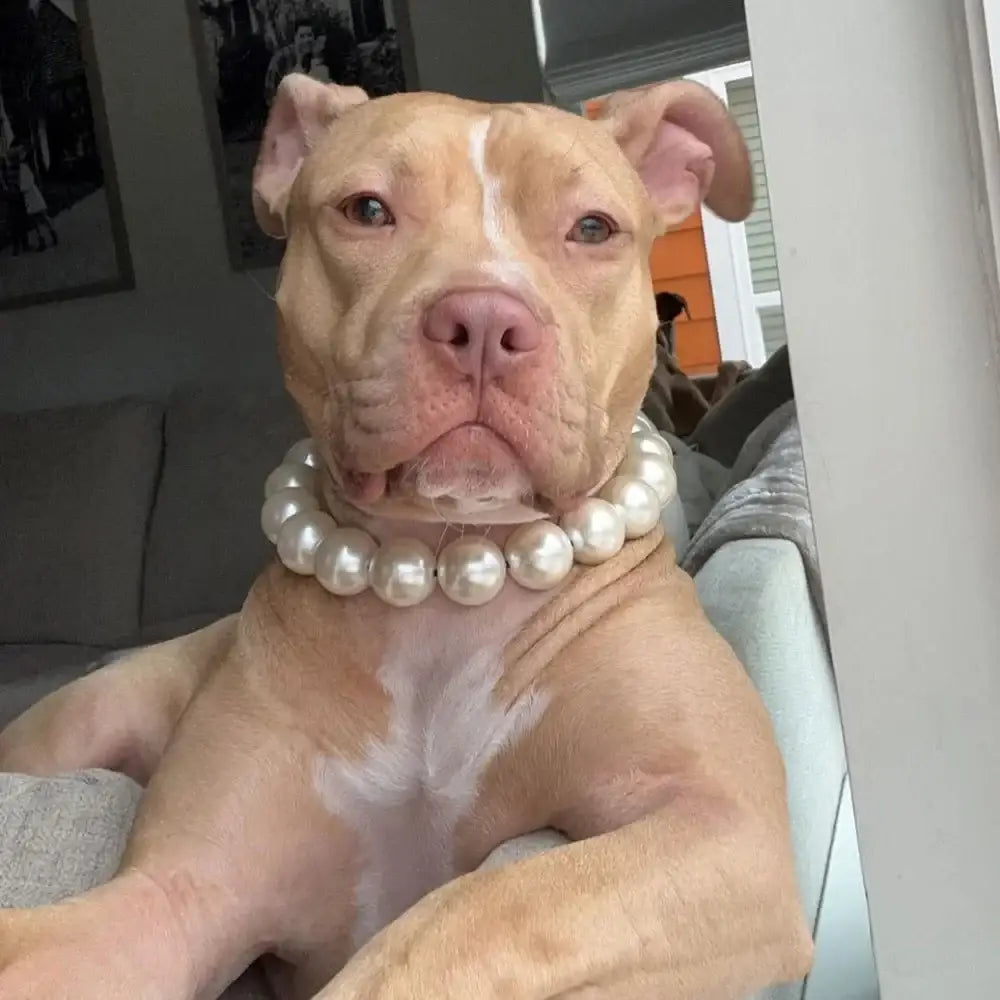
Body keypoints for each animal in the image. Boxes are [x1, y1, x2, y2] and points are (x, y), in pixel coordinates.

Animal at [0, 78, 812, 1000]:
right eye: (367, 209)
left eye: (593, 228)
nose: (485, 319)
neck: (440, 576)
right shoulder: (171, 896)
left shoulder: (718, 827)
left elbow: (474, 911)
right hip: (72, 729)